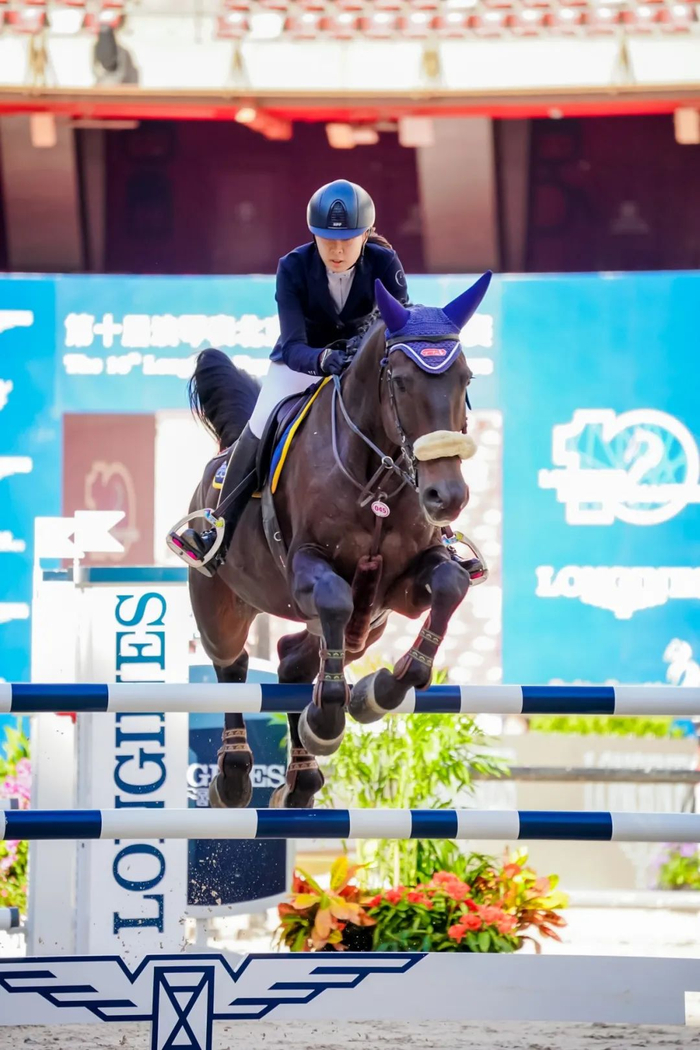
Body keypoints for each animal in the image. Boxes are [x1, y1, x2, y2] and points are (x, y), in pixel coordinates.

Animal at [183, 274, 492, 809]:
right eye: (401, 381)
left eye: (466, 379)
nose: (446, 497)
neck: (376, 481)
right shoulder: (306, 564)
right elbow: (332, 596)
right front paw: (326, 721)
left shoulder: (402, 588)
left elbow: (450, 585)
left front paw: (380, 691)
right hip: (219, 601)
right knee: (232, 664)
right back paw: (234, 775)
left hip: (366, 630)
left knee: (292, 662)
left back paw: (302, 779)